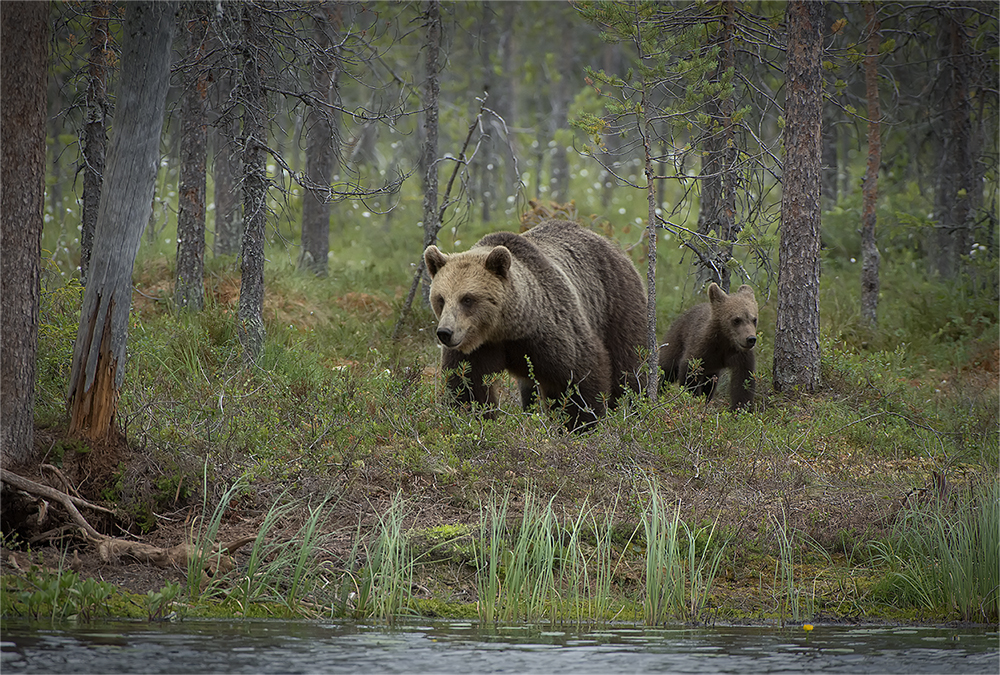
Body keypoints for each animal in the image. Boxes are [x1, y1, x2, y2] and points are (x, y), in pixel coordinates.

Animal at [424, 222, 644, 434]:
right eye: (441, 299)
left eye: (467, 299)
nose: (445, 333)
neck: (506, 329)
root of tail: (614, 248)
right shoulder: (478, 349)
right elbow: (468, 388)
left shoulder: (551, 333)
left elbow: (580, 378)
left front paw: (581, 426)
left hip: (616, 304)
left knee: (628, 366)